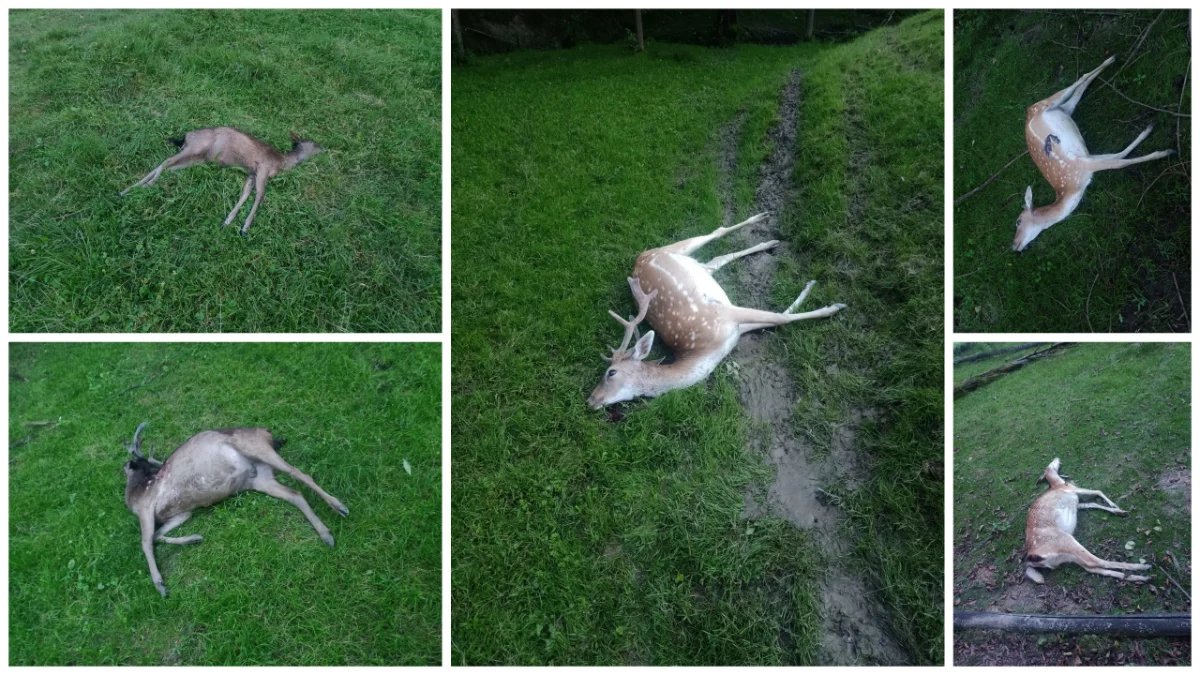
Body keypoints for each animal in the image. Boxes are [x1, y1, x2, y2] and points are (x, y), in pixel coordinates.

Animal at [118, 127, 324, 235]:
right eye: (313, 144)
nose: (324, 148)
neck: (280, 163)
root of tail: (185, 136)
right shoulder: (263, 168)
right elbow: (260, 195)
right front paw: (245, 228)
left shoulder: (251, 173)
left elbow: (245, 194)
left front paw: (227, 221)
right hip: (196, 147)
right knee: (166, 161)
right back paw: (140, 187)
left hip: (197, 158)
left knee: (170, 167)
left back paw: (131, 189)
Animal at [121, 420, 348, 593]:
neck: (133, 494)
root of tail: (266, 431)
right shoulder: (182, 513)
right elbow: (157, 536)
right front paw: (195, 538)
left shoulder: (146, 506)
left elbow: (146, 541)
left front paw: (160, 585)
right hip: (260, 478)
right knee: (295, 495)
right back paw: (326, 535)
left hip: (257, 447)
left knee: (299, 473)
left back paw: (340, 507)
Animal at [585, 212, 849, 408]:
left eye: (610, 372)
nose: (590, 400)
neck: (706, 354)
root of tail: (639, 259)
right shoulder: (735, 328)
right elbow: (779, 317)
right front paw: (819, 296)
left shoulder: (723, 316)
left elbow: (779, 318)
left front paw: (832, 305)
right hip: (703, 268)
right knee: (717, 259)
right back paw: (769, 241)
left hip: (673, 249)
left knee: (717, 232)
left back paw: (763, 220)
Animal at [1012, 54, 1171, 249]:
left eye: (1018, 221)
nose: (1014, 245)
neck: (1074, 189)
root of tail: (1028, 112)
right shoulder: (1086, 158)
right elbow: (1121, 155)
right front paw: (1149, 130)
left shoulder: (1081, 165)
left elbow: (1120, 163)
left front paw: (1165, 152)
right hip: (1065, 110)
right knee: (1077, 94)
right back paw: (1111, 60)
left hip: (1044, 104)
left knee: (1078, 81)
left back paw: (1111, 59)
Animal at [1022, 456, 1152, 583]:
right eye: (1049, 465)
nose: (1057, 458)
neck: (1058, 484)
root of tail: (1031, 560)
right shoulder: (1073, 490)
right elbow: (1097, 491)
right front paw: (1115, 505)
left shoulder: (1076, 503)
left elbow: (1093, 503)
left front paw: (1120, 511)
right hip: (1065, 541)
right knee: (1095, 561)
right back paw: (1143, 566)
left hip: (1065, 557)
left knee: (1090, 567)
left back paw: (1141, 578)